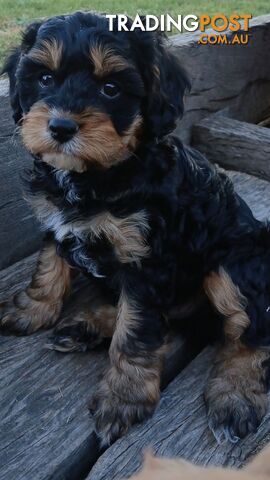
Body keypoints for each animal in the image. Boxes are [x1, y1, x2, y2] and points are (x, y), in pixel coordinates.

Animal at [1, 11, 270, 446]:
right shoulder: (57, 218)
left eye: (111, 89)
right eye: (44, 79)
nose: (60, 127)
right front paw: (32, 309)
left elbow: (137, 328)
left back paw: (235, 395)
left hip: (235, 263)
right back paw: (87, 327)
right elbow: (48, 265)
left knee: (250, 330)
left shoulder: (146, 259)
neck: (100, 173)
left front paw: (123, 398)